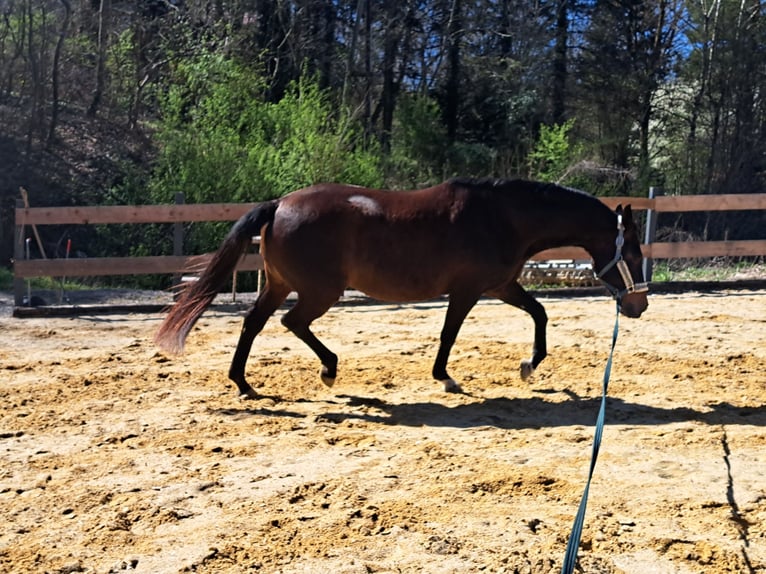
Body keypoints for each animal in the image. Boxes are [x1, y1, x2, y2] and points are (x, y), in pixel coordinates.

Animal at [155, 177, 648, 399]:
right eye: (633, 251)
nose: (639, 305)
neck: (503, 217)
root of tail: (279, 205)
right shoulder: (469, 290)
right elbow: (449, 334)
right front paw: (445, 377)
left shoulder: (502, 285)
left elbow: (540, 313)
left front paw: (529, 365)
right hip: (318, 292)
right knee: (291, 323)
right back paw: (328, 369)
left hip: (279, 285)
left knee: (253, 324)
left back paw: (244, 383)